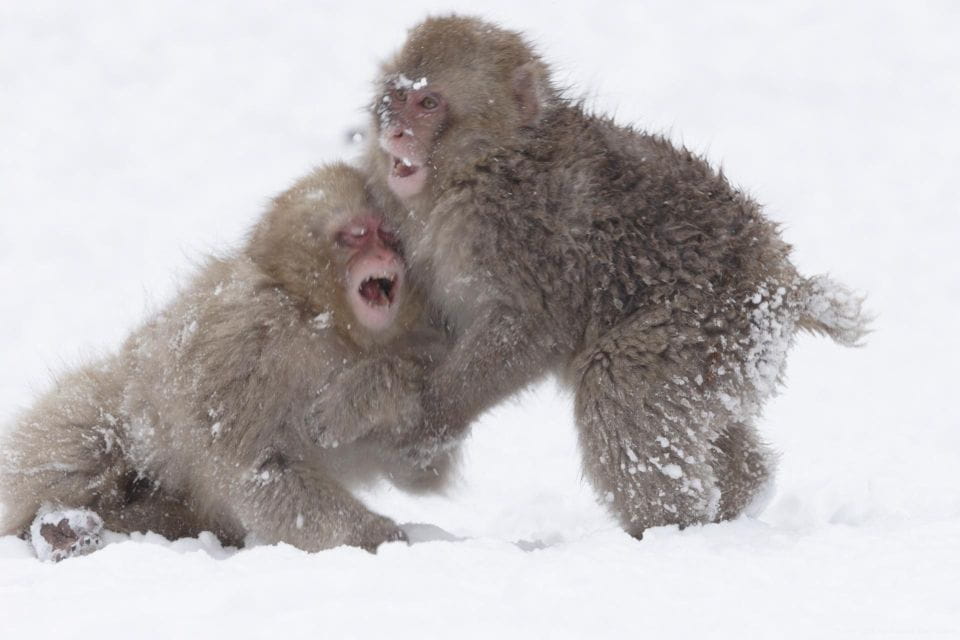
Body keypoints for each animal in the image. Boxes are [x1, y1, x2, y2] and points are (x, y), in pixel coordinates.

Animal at [0, 163, 453, 560]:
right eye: (357, 235)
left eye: (389, 235)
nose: (385, 254)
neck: (324, 321)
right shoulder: (245, 340)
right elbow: (256, 470)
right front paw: (373, 535)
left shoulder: (420, 338)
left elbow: (419, 466)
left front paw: (375, 392)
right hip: (109, 403)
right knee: (85, 440)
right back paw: (54, 528)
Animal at [363, 16, 870, 538]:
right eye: (395, 96)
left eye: (428, 103)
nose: (394, 129)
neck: (490, 160)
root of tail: (787, 288)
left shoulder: (520, 235)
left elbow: (531, 328)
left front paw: (429, 421)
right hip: (736, 357)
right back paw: (745, 488)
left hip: (711, 325)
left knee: (617, 384)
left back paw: (669, 526)